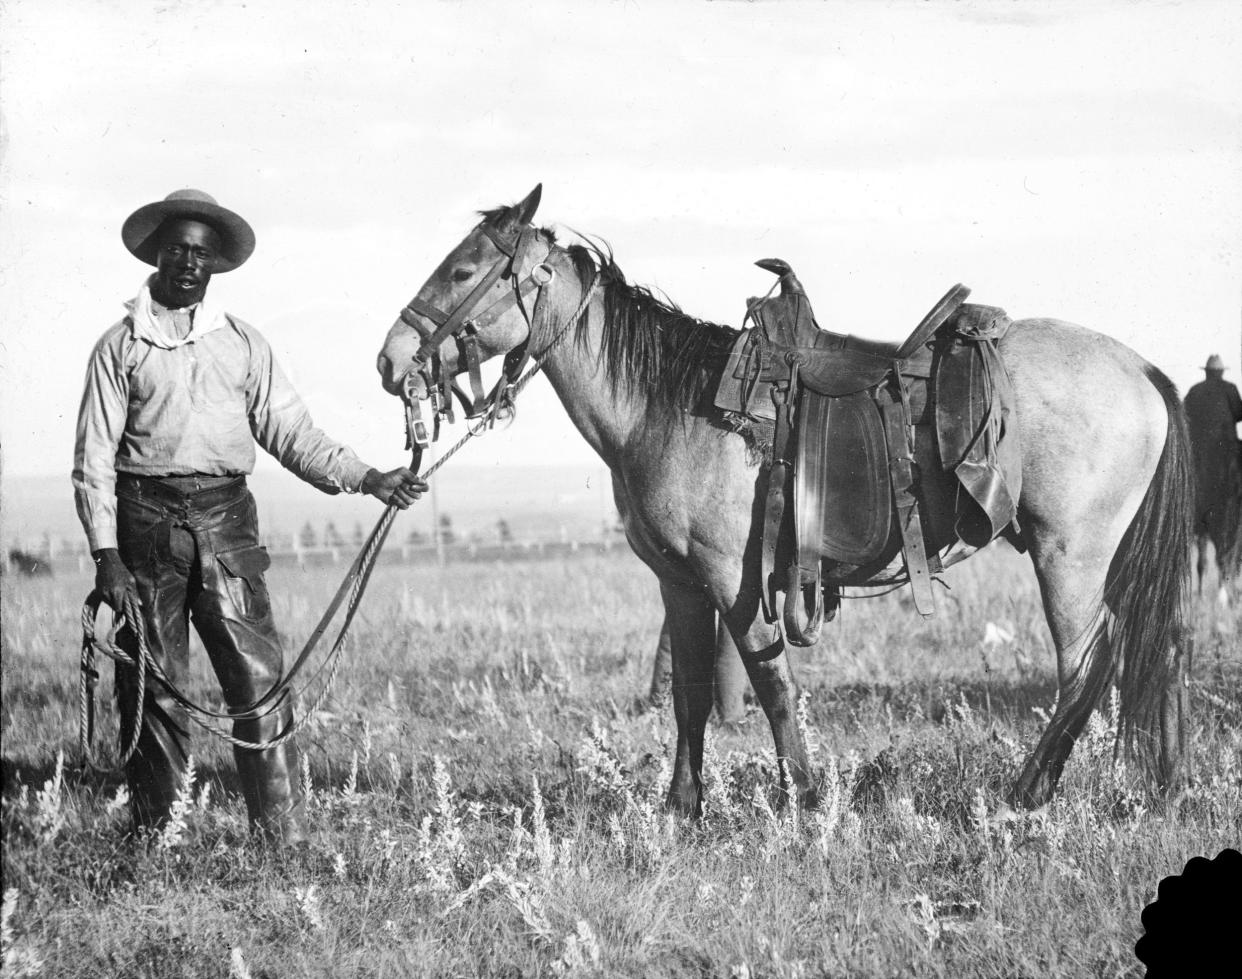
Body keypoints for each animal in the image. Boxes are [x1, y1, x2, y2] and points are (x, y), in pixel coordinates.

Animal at [375, 187, 1192, 815]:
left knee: (1087, 663)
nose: (389, 360)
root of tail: (1145, 371)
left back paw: (1028, 791)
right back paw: (1159, 783)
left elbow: (770, 685)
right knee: (1153, 646)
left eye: (463, 268)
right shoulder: (679, 581)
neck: (662, 406)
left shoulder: (733, 579)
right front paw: (682, 808)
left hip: (1068, 556)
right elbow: (691, 690)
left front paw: (802, 796)